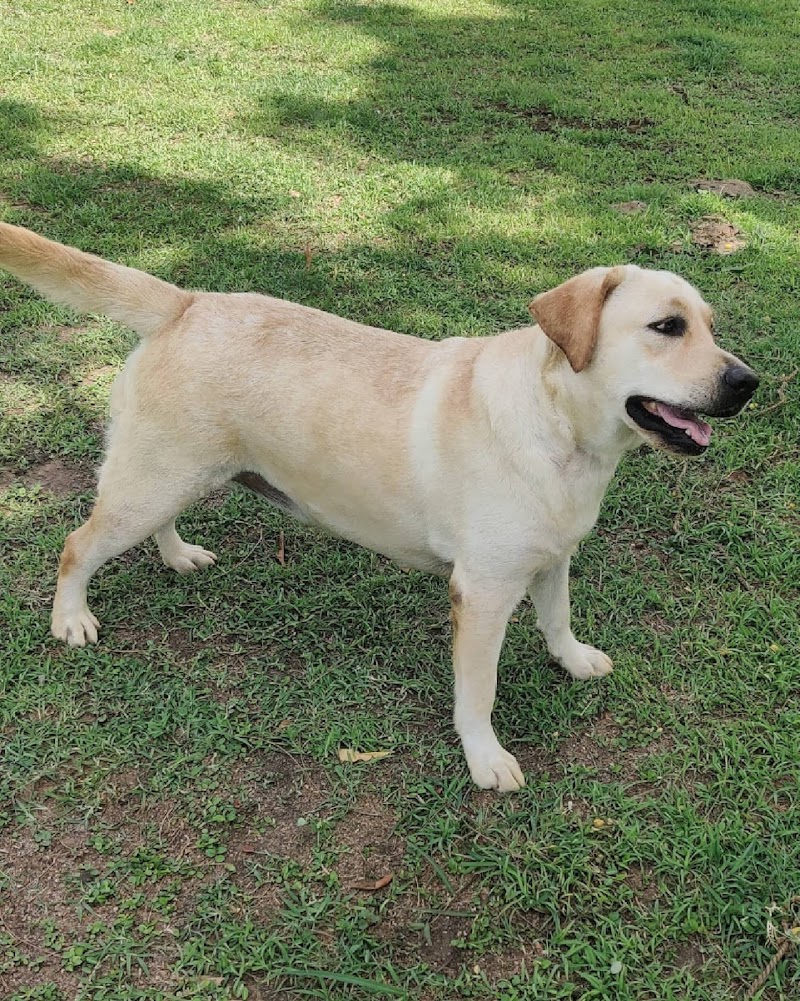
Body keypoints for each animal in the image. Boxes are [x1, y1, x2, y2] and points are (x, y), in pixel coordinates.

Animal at [0, 222, 758, 791]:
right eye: (667, 326)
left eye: (710, 326)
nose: (748, 381)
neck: (561, 428)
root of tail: (185, 300)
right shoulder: (483, 592)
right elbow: (478, 690)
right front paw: (485, 757)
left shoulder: (551, 558)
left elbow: (559, 618)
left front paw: (572, 659)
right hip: (148, 481)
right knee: (76, 544)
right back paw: (70, 619)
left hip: (177, 476)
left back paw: (178, 554)